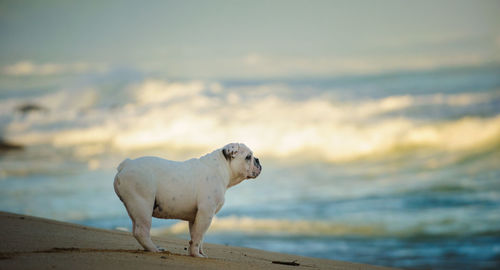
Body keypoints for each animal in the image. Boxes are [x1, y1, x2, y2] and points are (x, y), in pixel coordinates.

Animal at [113, 142, 262, 256]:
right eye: (248, 157)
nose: (258, 160)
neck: (222, 168)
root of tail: (126, 164)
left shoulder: (196, 217)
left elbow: (198, 236)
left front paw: (199, 253)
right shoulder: (206, 213)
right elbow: (198, 236)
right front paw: (196, 255)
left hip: (135, 206)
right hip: (142, 204)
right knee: (141, 231)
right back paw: (154, 249)